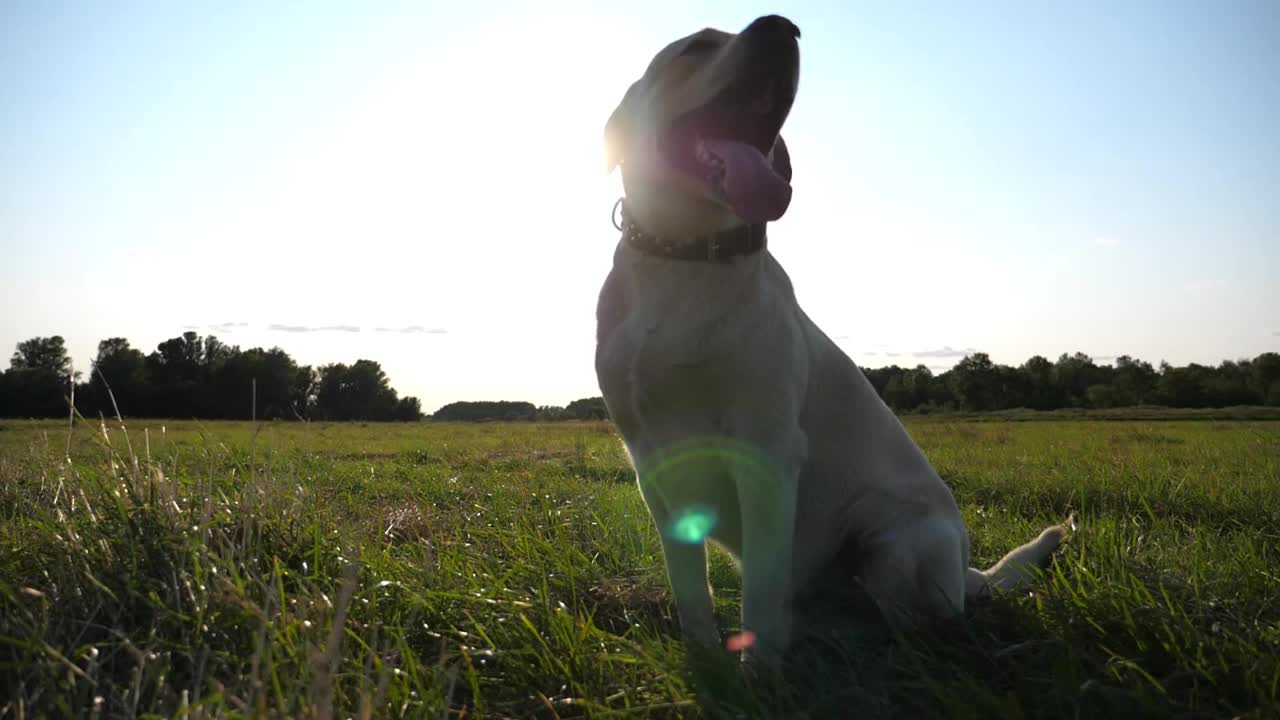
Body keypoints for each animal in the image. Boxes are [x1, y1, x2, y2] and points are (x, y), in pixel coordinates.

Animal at [593, 14, 1075, 661]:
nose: (782, 26)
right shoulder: (654, 465)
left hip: (896, 539)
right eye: (696, 47)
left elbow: (760, 592)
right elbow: (689, 587)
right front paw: (707, 660)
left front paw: (757, 670)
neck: (686, 260)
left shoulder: (766, 449)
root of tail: (968, 573)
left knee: (922, 624)